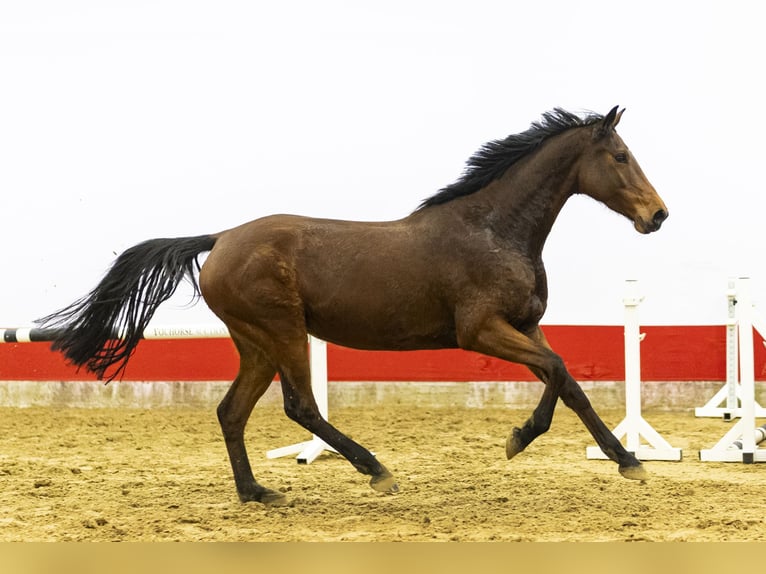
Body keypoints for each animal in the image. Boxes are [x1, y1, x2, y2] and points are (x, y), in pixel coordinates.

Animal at [38, 106, 668, 505]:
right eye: (619, 155)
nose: (658, 215)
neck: (494, 230)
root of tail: (219, 239)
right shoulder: (481, 330)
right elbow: (559, 372)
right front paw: (523, 440)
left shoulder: (525, 326)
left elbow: (568, 383)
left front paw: (625, 460)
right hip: (283, 331)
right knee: (300, 407)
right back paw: (377, 471)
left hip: (256, 343)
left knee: (231, 412)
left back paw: (256, 493)